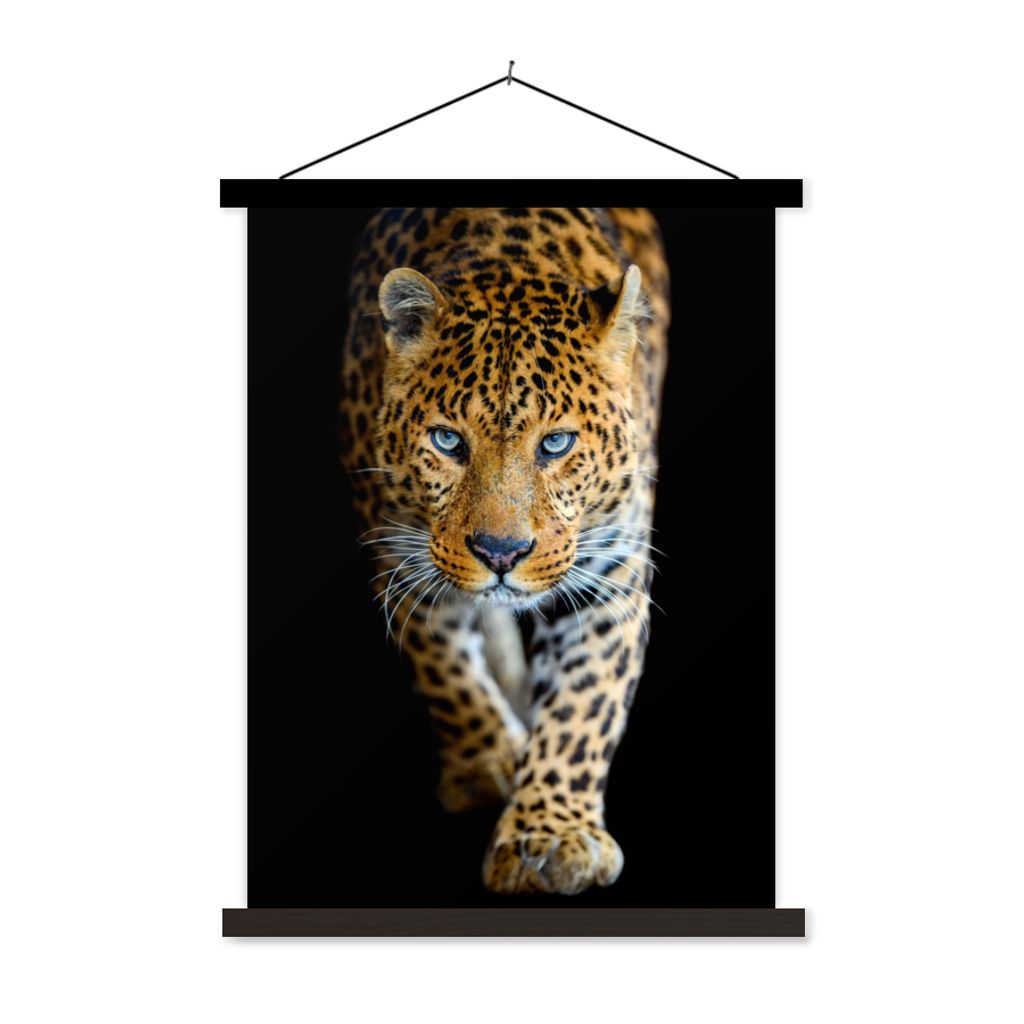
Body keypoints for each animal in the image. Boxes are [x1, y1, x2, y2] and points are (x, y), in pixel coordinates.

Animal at [339, 207, 669, 895]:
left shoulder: (613, 575)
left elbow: (584, 707)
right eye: (447, 441)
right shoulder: (397, 550)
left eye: (556, 444)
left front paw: (552, 835)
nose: (500, 553)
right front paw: (485, 760)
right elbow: (443, 668)